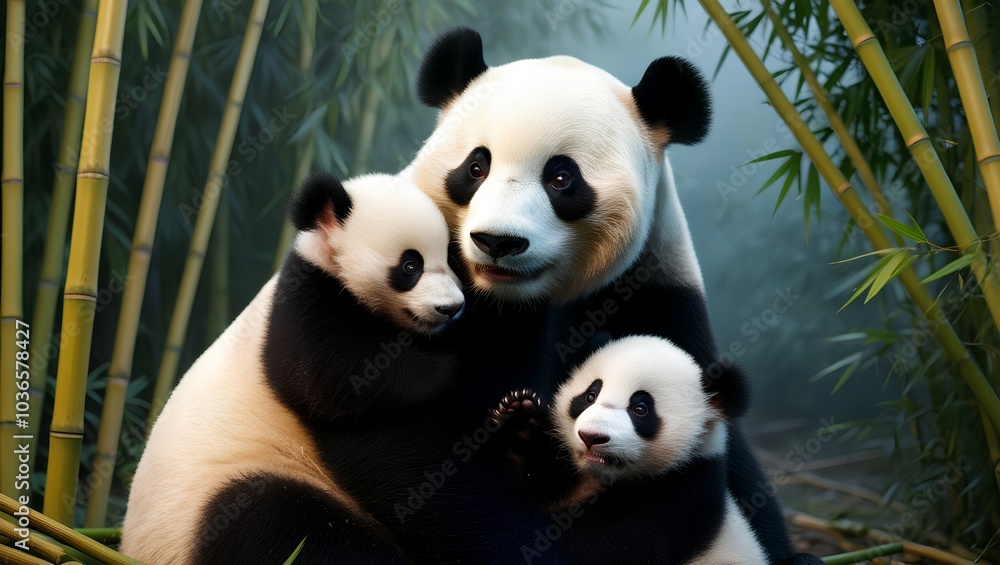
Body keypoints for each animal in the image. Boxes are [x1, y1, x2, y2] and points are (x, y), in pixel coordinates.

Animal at [120, 172, 464, 564]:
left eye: (450, 258)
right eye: (410, 266)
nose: (451, 308)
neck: (325, 254)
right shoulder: (300, 306)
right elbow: (333, 378)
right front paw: (448, 365)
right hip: (227, 495)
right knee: (285, 525)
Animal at [492, 336, 822, 565]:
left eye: (640, 409)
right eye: (590, 396)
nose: (591, 437)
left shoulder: (681, 496)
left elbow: (597, 549)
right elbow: (549, 489)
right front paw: (521, 419)